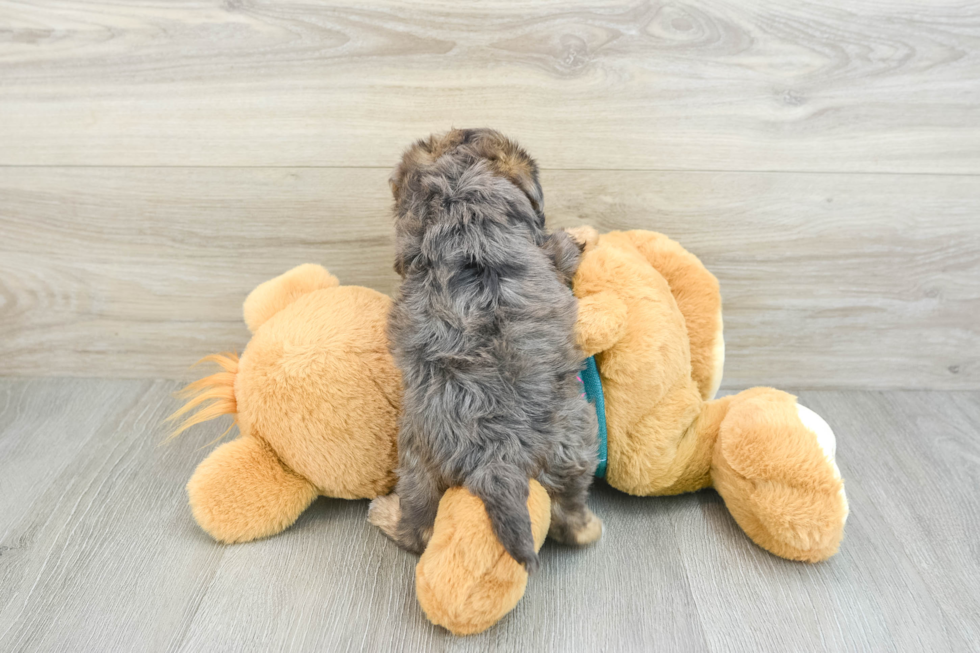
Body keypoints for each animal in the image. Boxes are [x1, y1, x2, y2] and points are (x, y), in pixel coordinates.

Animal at [366, 129, 596, 572]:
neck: (460, 193)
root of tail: (497, 454)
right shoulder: (548, 252)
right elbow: (563, 248)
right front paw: (581, 236)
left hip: (423, 456)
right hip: (570, 439)